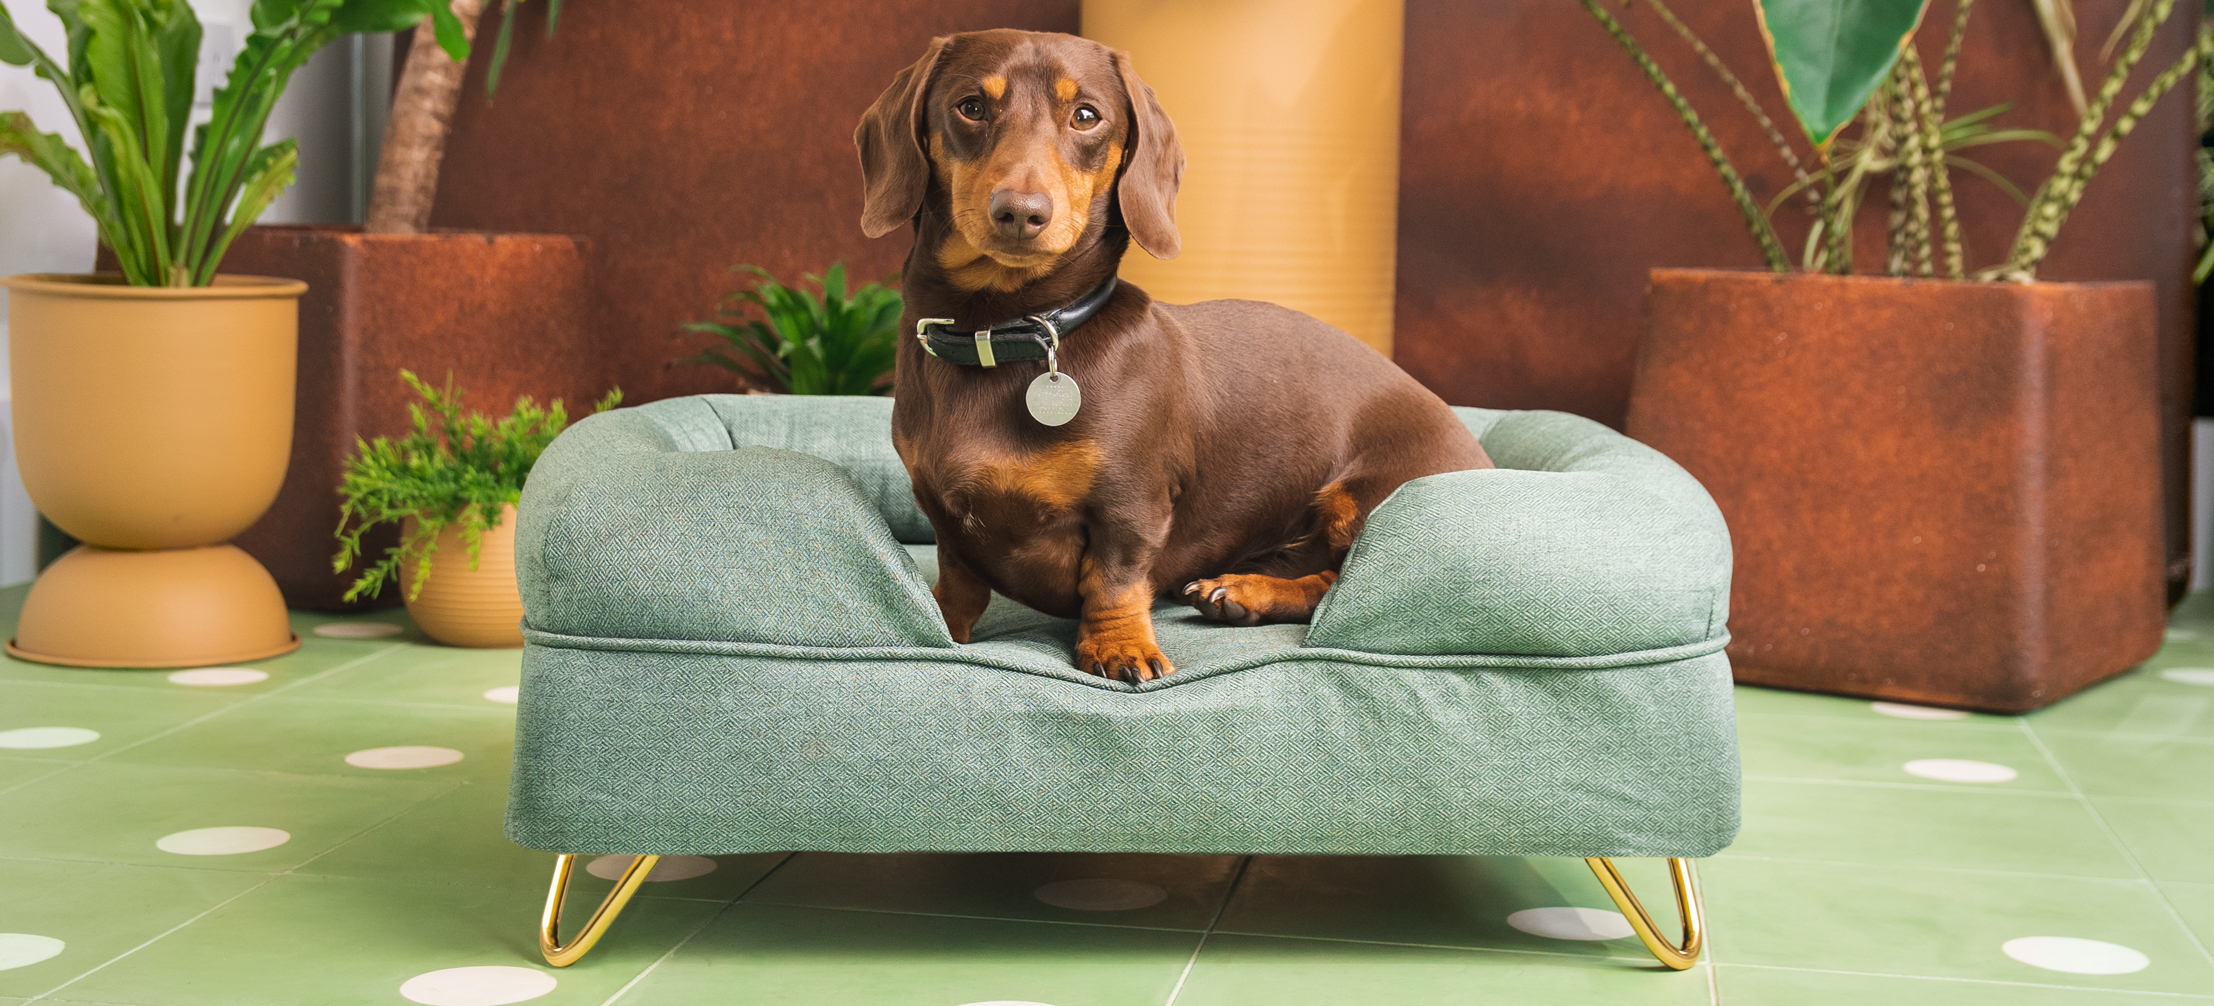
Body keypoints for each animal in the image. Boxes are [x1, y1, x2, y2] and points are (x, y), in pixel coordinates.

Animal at [854, 27, 1496, 682]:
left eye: (1086, 116)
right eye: (971, 107)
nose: (1020, 212)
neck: (1002, 332)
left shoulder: (1131, 504)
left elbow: (1114, 579)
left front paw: (1118, 646)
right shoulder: (943, 514)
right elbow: (959, 579)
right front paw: (934, 625)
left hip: (1361, 497)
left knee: (1336, 584)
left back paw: (1243, 592)